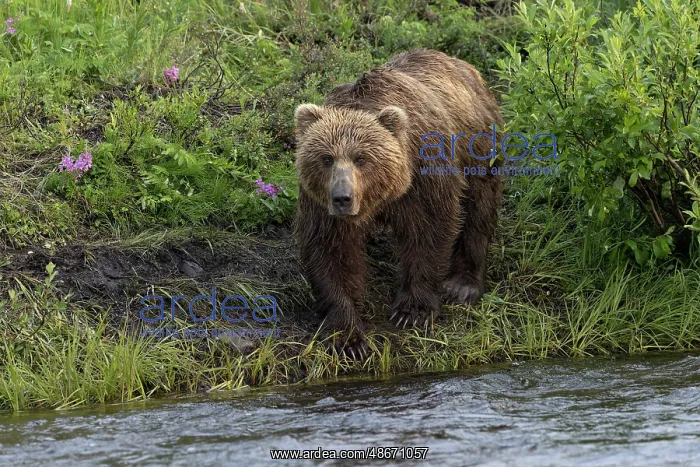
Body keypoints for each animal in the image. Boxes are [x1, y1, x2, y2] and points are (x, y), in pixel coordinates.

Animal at [293, 49, 503, 359]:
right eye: (326, 158)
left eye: (361, 158)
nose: (342, 198)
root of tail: (462, 64)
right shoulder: (319, 201)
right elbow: (331, 249)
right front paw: (348, 336)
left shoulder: (424, 174)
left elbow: (429, 230)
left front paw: (412, 311)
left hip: (478, 146)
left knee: (480, 207)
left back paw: (462, 285)